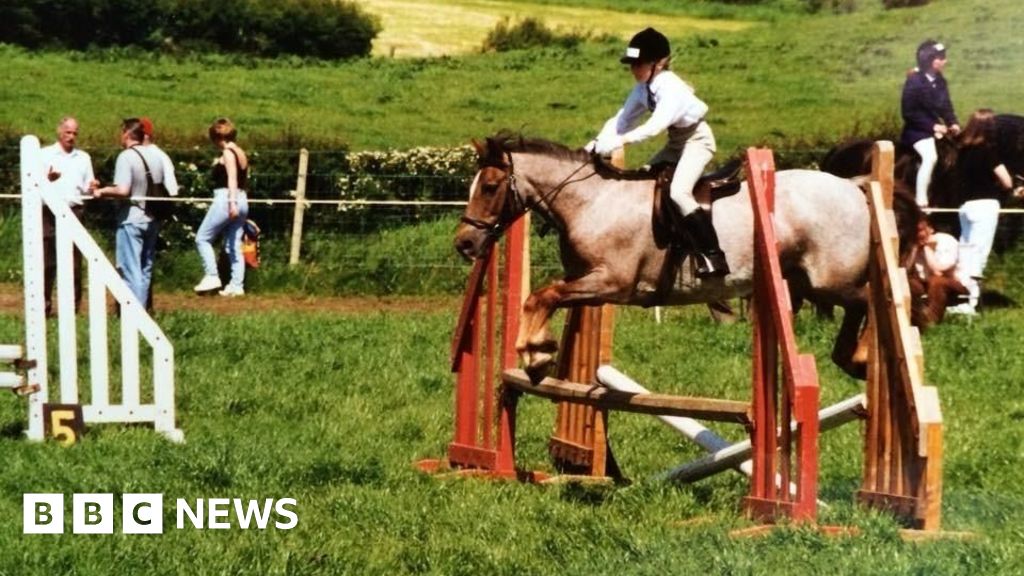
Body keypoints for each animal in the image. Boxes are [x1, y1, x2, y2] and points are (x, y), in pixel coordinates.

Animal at [456, 133, 880, 377]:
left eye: (490, 186)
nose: (464, 243)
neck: (592, 202)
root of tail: (851, 185)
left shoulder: (612, 283)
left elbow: (545, 296)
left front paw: (535, 353)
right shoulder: (585, 280)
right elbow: (539, 297)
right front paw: (538, 353)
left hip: (830, 279)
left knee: (869, 300)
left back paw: (861, 357)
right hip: (807, 281)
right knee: (858, 306)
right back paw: (850, 359)